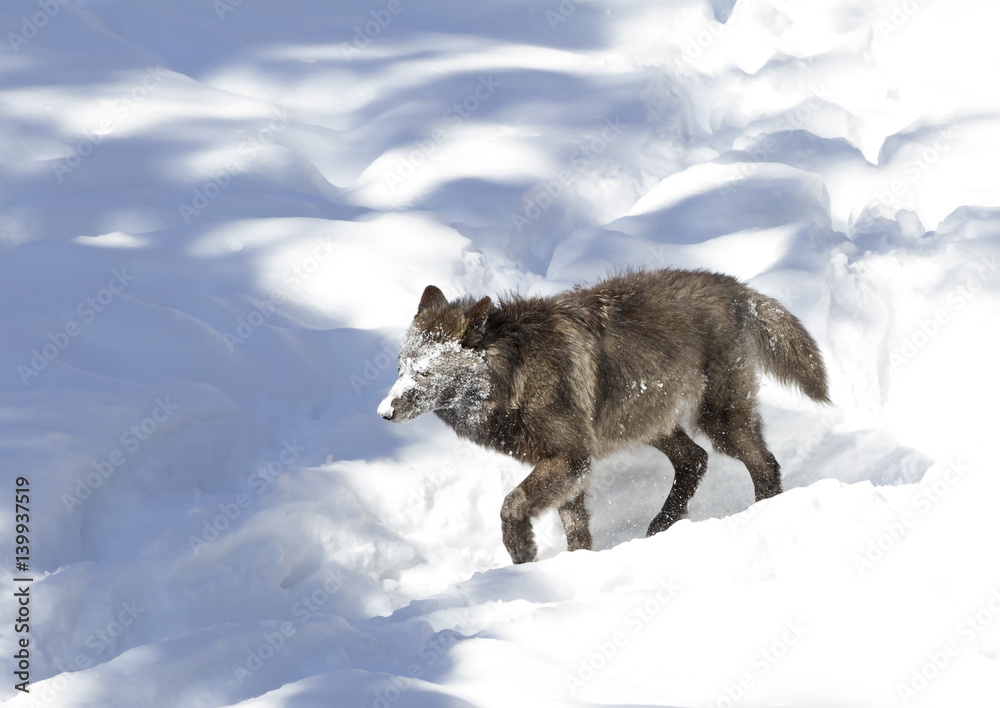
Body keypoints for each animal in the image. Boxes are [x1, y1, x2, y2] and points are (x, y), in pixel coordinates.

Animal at [378, 269, 829, 564]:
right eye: (400, 369)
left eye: (424, 373)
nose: (384, 412)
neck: (514, 374)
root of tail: (736, 289)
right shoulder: (571, 466)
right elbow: (576, 528)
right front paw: (578, 568)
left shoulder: (570, 458)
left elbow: (511, 503)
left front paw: (522, 551)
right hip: (643, 423)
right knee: (695, 460)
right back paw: (660, 527)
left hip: (717, 421)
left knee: (764, 465)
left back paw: (763, 516)